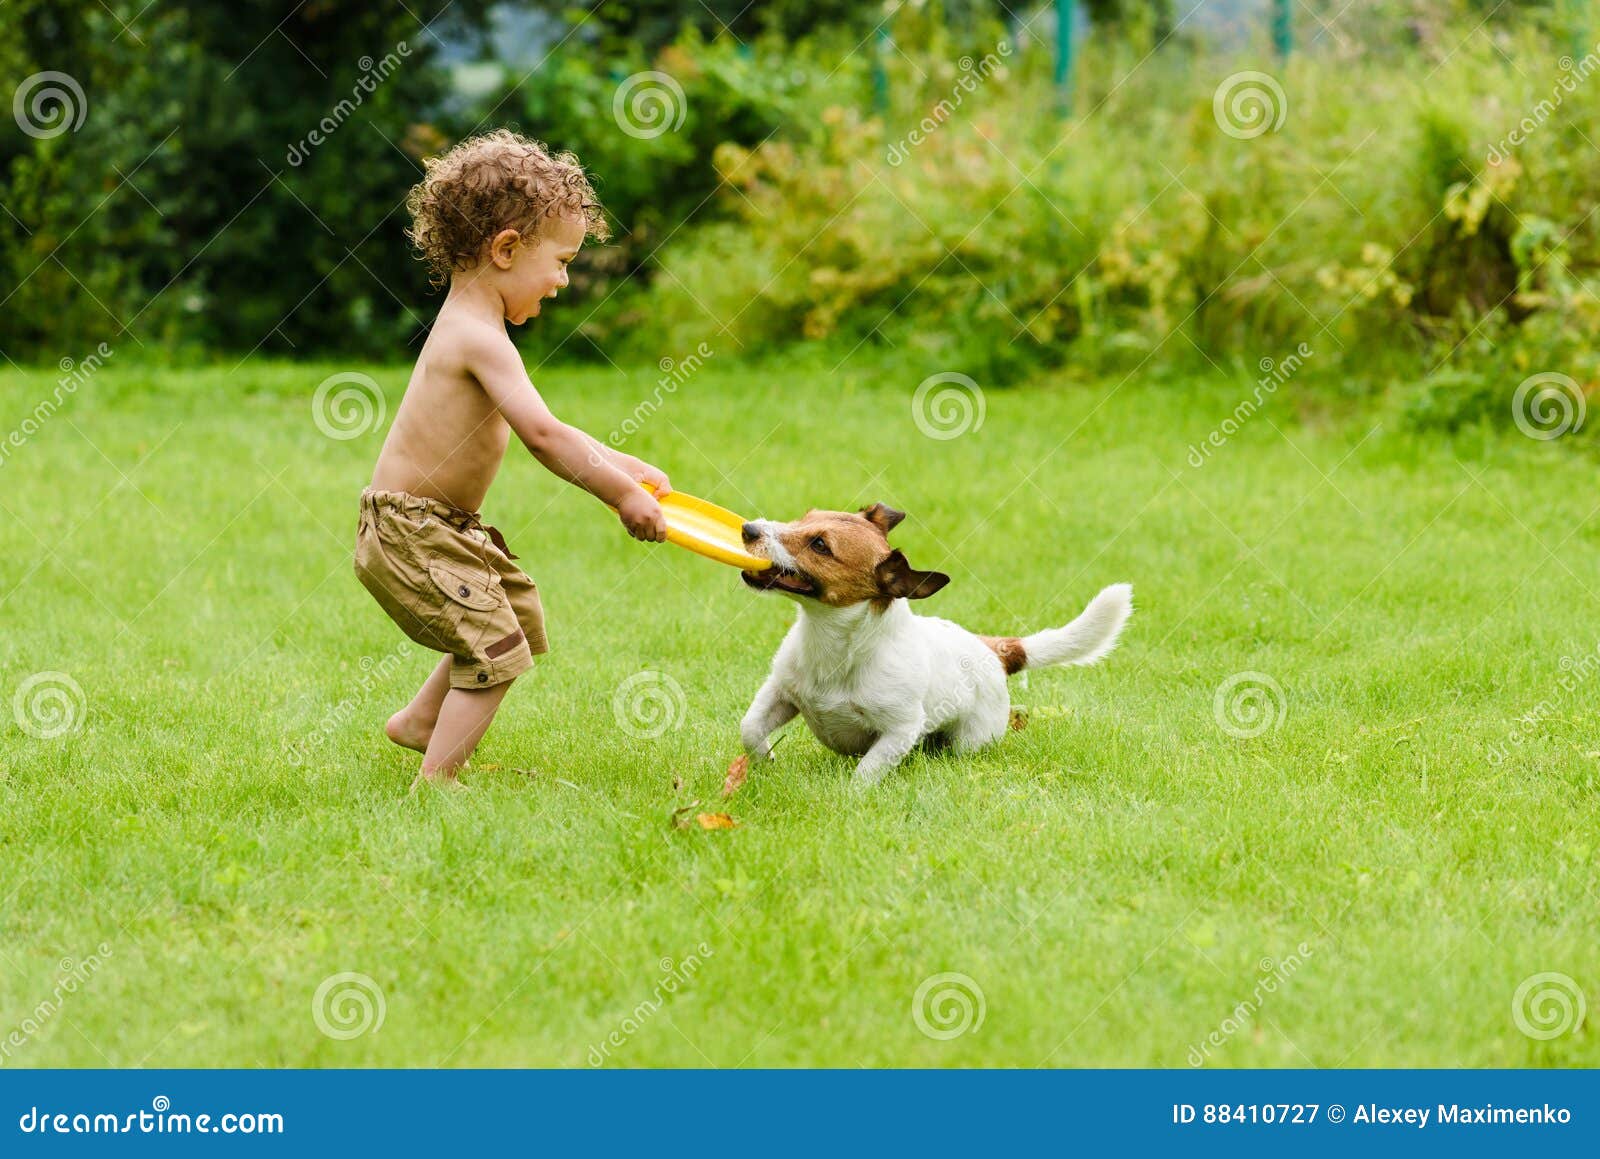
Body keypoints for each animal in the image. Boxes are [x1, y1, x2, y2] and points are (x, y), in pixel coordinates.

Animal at [742, 502, 1132, 784]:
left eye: (820, 545)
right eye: (803, 518)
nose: (748, 529)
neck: (833, 644)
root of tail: (991, 649)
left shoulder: (900, 730)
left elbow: (866, 772)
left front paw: (851, 797)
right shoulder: (779, 692)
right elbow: (749, 729)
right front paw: (767, 760)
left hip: (971, 740)